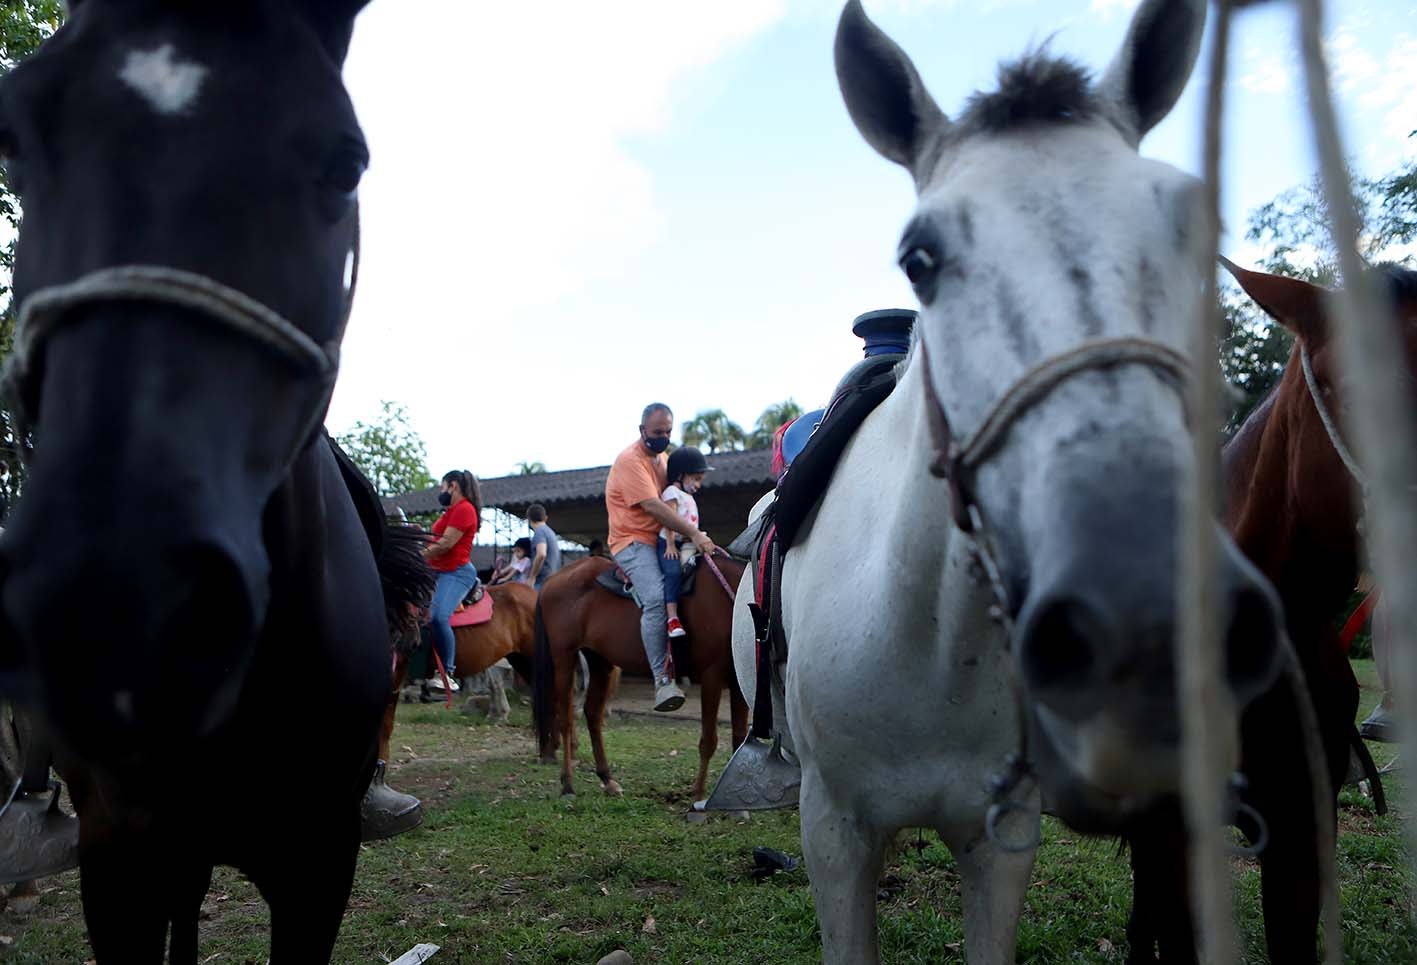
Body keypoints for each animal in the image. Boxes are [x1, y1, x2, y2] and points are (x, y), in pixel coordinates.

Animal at [533, 555, 748, 801]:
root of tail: (551, 581)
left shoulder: (738, 682)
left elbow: (739, 737)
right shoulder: (712, 676)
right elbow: (709, 740)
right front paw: (698, 795)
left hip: (600, 661)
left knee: (593, 714)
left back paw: (607, 780)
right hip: (564, 660)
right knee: (566, 719)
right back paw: (567, 785)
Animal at [754, 3, 1286, 962]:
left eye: (1194, 226)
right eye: (918, 258)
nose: (1151, 621)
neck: (927, 640)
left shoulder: (1000, 838)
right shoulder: (832, 831)